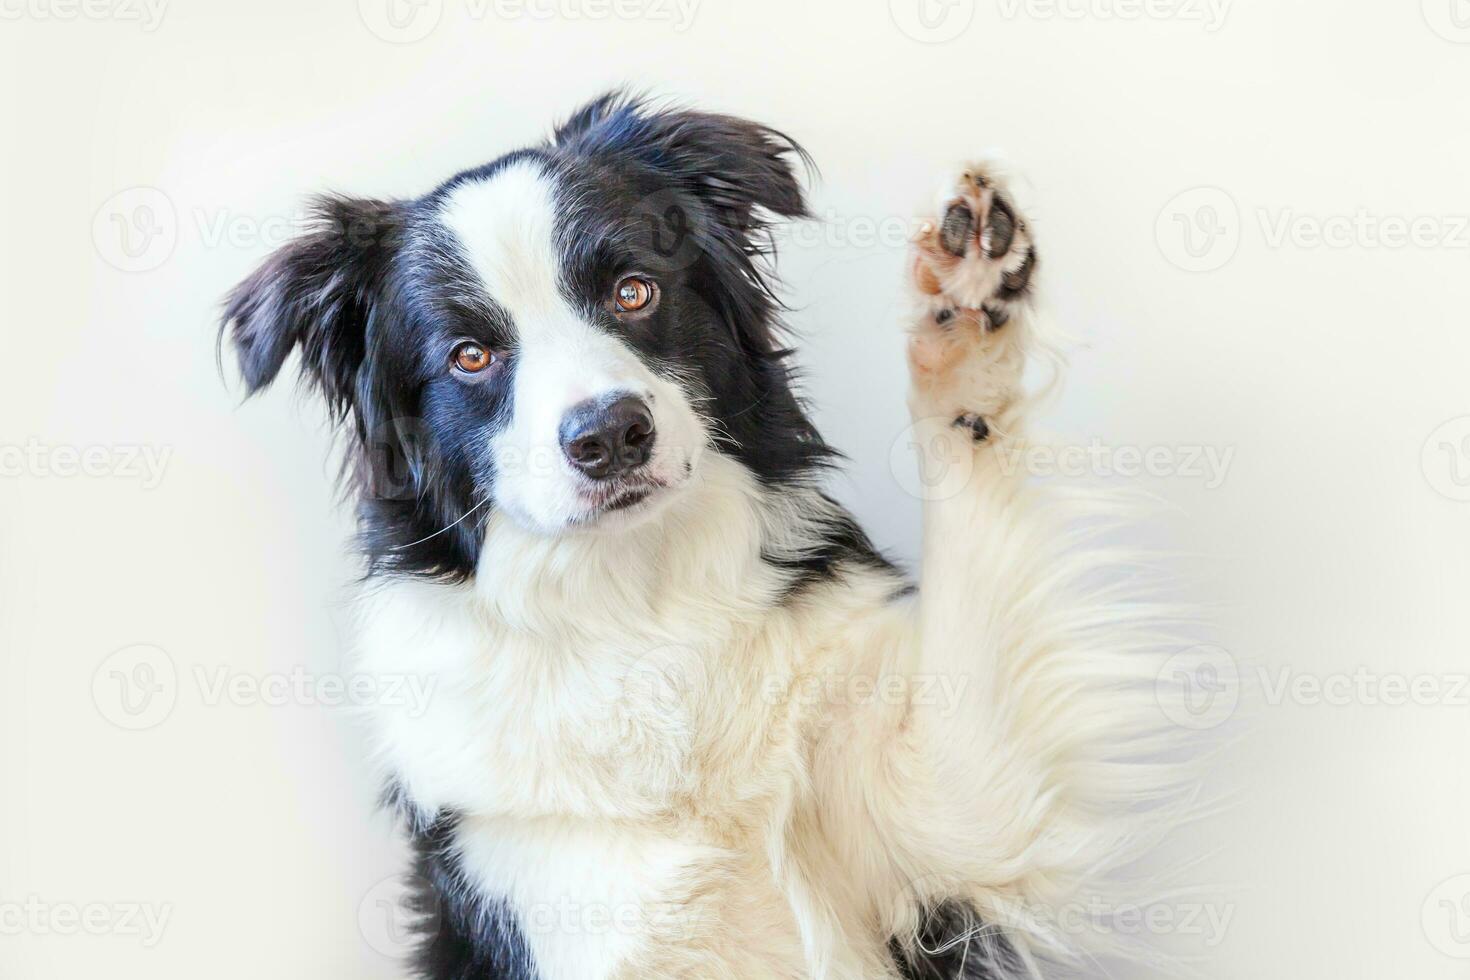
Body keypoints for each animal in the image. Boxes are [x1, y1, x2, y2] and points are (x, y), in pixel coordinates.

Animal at [223, 94, 1187, 980]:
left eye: (633, 291)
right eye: (470, 355)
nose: (610, 435)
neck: (642, 604)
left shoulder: (950, 829)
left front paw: (968, 300)